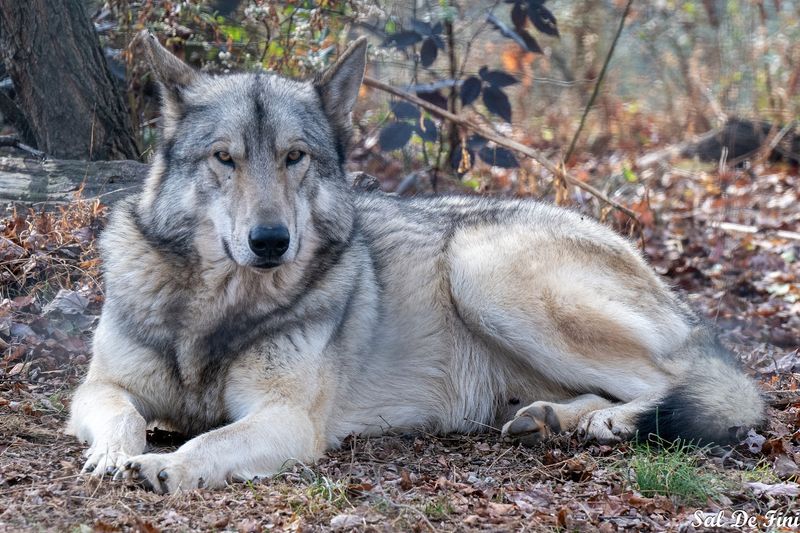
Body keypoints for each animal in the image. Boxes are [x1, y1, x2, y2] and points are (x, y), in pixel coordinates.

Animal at [67, 32, 764, 493]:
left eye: (295, 157)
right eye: (224, 158)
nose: (270, 241)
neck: (218, 309)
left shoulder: (287, 420)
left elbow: (209, 438)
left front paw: (166, 465)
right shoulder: (98, 386)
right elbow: (121, 413)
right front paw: (112, 454)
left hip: (481, 270)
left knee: (691, 386)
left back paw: (614, 422)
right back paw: (552, 419)